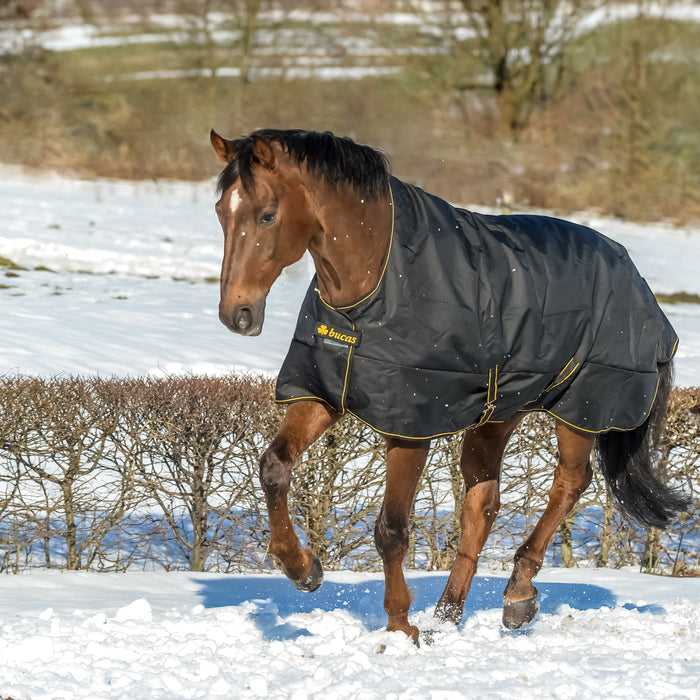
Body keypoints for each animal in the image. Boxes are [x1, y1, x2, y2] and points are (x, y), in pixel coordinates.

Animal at [210, 128, 690, 640]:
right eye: (221, 211)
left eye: (267, 214)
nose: (237, 314)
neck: (371, 284)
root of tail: (635, 276)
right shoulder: (323, 393)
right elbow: (274, 467)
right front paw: (302, 569)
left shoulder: (409, 426)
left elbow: (392, 530)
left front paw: (401, 626)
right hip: (498, 414)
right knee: (482, 503)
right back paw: (447, 613)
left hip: (581, 409)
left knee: (569, 484)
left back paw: (517, 595)